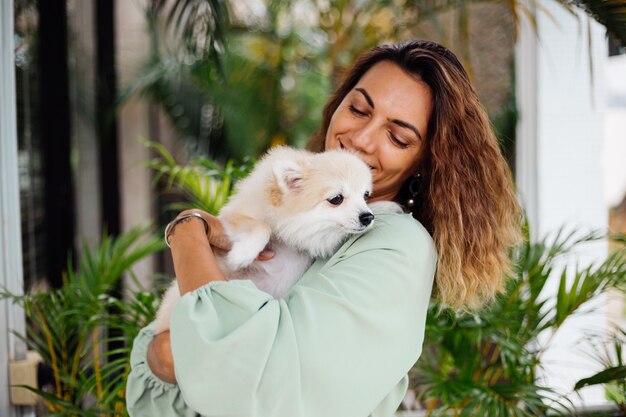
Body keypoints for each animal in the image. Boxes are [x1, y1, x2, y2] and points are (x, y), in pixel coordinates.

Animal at [150, 148, 400, 334]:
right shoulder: (231, 219)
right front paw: (243, 254)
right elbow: (261, 228)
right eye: (336, 199)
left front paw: (387, 206)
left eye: (366, 195)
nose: (367, 217)